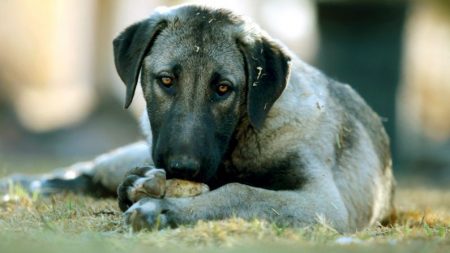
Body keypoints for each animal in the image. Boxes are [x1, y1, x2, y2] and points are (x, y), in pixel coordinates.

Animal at [0, 4, 394, 233]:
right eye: (166, 81)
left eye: (223, 88)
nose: (182, 168)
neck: (244, 137)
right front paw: (147, 189)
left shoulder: (323, 202)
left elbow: (240, 192)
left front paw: (164, 208)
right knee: (86, 170)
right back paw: (24, 184)